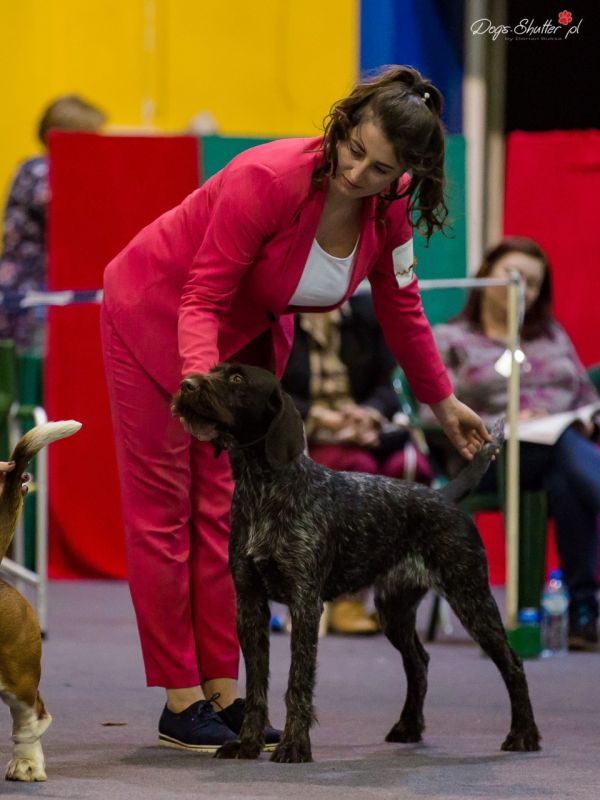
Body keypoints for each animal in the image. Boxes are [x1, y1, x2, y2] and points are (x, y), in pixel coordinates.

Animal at [172, 363, 540, 763]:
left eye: (237, 379)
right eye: (214, 371)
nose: (185, 383)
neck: (263, 490)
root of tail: (444, 495)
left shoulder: (304, 603)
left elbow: (297, 682)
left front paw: (294, 745)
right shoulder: (250, 604)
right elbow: (256, 687)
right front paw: (249, 743)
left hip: (470, 597)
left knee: (512, 663)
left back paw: (524, 734)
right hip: (394, 609)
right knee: (419, 661)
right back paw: (408, 726)